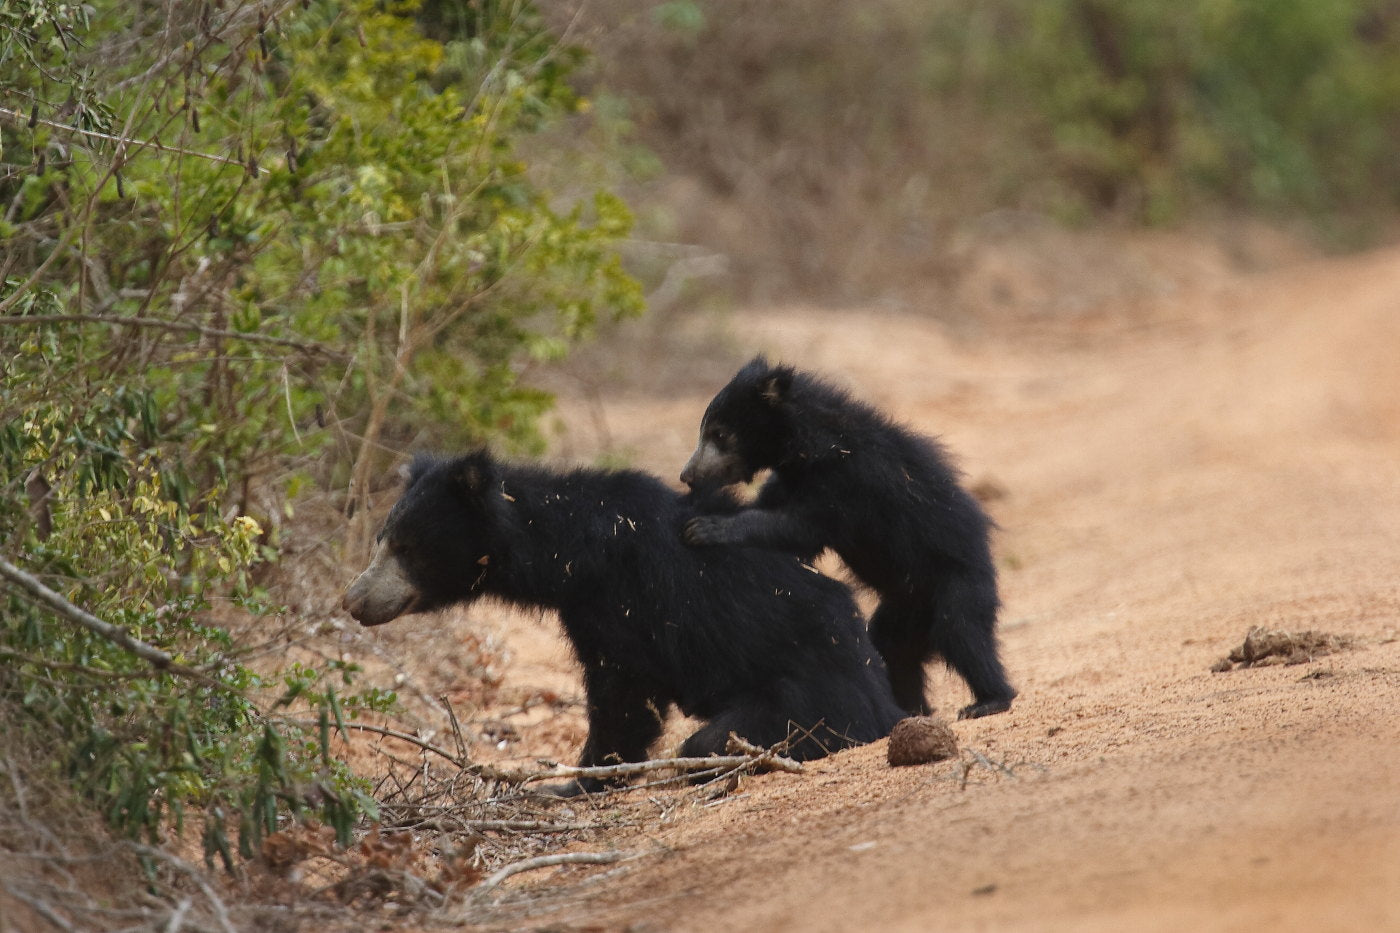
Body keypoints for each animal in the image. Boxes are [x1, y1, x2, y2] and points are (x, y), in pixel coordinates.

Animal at [344, 451, 901, 790]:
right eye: (382, 540)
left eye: (408, 548)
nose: (353, 600)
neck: (568, 555)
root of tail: (887, 704)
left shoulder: (618, 602)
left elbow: (623, 698)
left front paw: (577, 782)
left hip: (807, 703)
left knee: (712, 740)